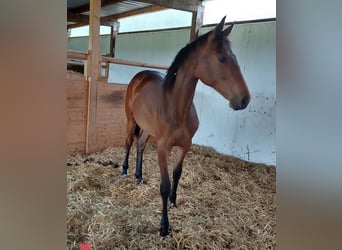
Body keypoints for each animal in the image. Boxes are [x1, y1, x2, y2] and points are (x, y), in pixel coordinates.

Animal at [121, 16, 250, 236]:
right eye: (222, 58)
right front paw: (164, 226)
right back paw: (124, 171)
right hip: (131, 121)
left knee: (140, 145)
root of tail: (140, 76)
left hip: (147, 129)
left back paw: (139, 177)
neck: (176, 108)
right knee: (129, 142)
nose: (244, 99)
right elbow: (164, 185)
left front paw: (174, 201)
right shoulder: (163, 147)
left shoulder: (185, 145)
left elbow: (177, 174)